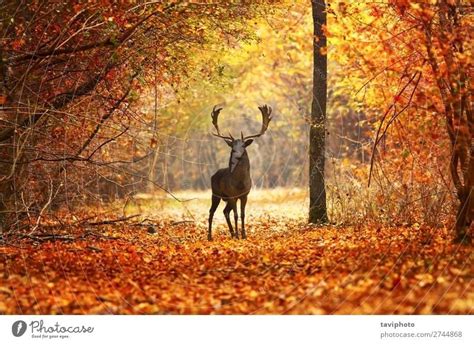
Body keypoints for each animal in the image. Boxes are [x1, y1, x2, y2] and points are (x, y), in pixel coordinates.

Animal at [208, 103, 274, 241]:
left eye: (243, 146)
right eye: (233, 146)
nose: (237, 154)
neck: (240, 183)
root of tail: (213, 175)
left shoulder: (245, 195)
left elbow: (243, 214)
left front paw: (243, 234)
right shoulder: (232, 195)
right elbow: (236, 215)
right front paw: (239, 235)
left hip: (226, 198)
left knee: (224, 211)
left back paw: (232, 233)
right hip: (215, 193)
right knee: (212, 212)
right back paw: (210, 236)